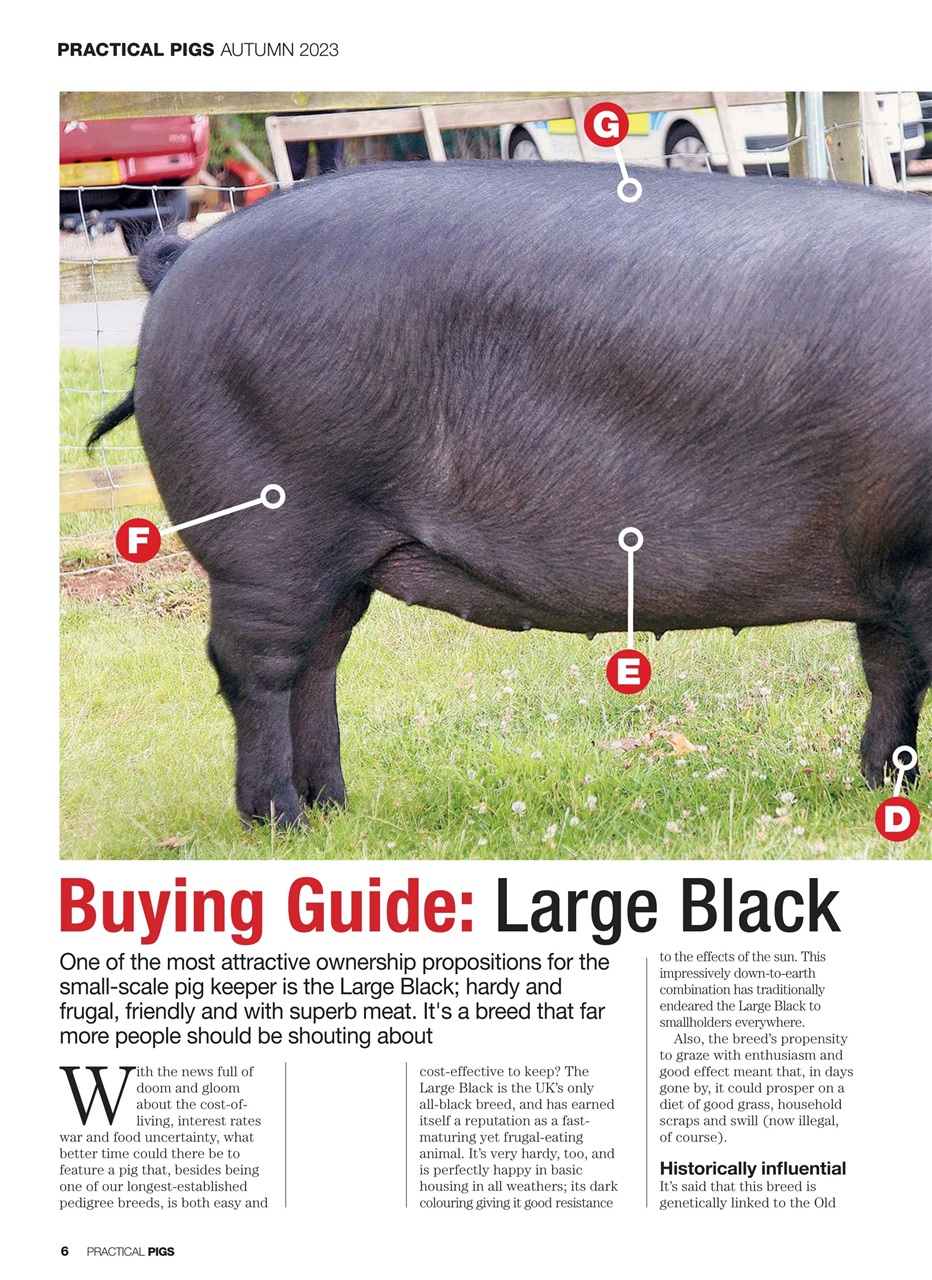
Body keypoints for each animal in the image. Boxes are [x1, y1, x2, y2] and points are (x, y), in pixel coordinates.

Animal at [89, 162, 931, 825]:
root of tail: (181, 260)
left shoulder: (888, 561)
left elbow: (892, 672)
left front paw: (879, 790)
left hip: (338, 556)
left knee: (318, 660)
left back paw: (335, 809)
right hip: (272, 533)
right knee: (255, 666)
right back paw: (283, 820)